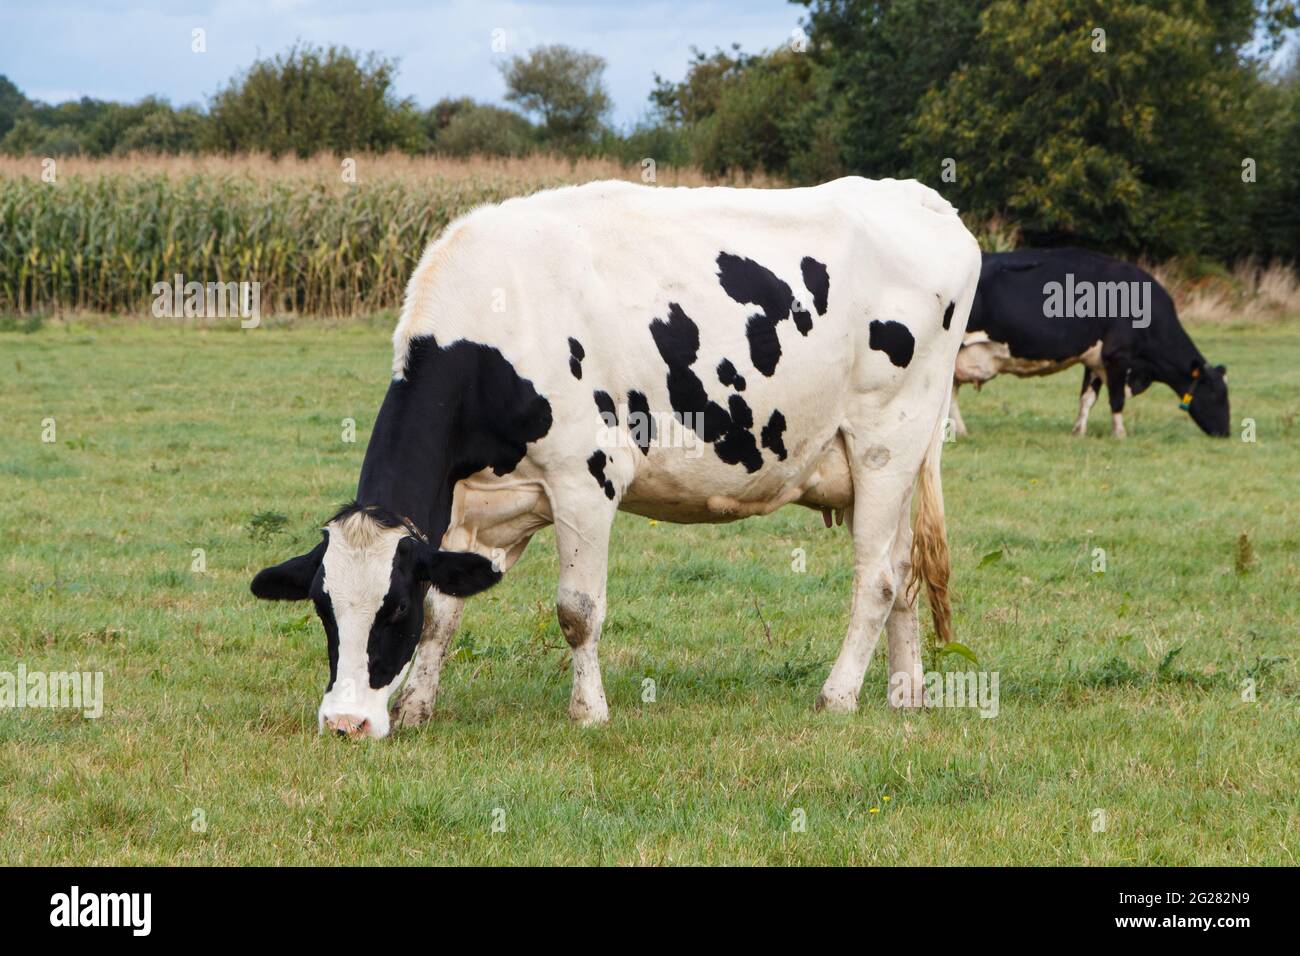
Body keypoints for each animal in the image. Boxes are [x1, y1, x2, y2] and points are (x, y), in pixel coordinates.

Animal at [249, 177, 982, 739]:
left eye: (390, 609)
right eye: (322, 609)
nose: (345, 724)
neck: (492, 329)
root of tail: (920, 198)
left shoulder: (586, 477)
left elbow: (577, 610)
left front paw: (588, 713)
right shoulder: (474, 507)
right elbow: (447, 611)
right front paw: (417, 707)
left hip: (887, 439)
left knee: (876, 579)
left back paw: (838, 695)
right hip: (879, 463)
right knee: (903, 569)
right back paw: (905, 693)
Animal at [949, 249, 1229, 438]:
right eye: (1218, 395)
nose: (1225, 433)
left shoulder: (1095, 358)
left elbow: (1087, 398)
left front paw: (1078, 431)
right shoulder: (1117, 355)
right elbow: (1117, 399)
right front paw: (1120, 434)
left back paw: (960, 430)